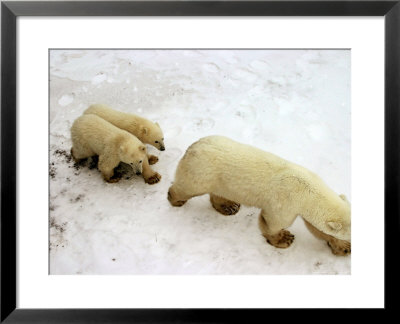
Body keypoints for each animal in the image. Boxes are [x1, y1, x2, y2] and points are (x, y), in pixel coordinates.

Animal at [167, 135, 352, 256]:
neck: (307, 188)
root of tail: (193, 146)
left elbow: (317, 228)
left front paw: (343, 247)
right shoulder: (285, 202)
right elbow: (272, 222)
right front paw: (285, 239)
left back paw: (229, 206)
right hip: (201, 172)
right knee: (188, 187)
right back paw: (176, 199)